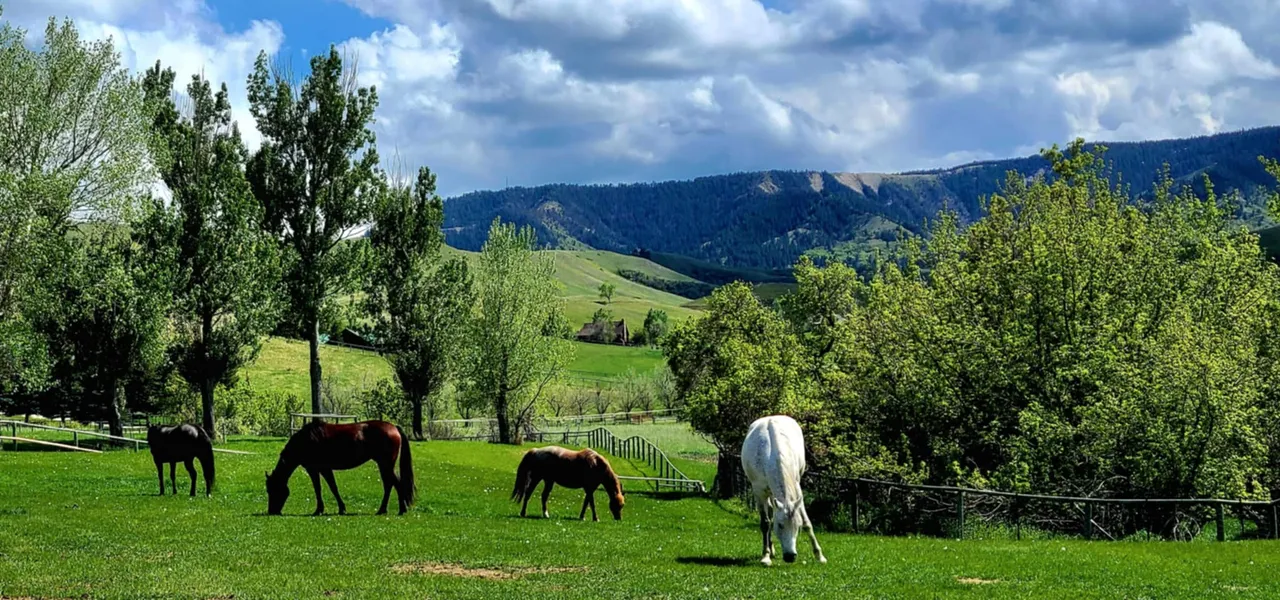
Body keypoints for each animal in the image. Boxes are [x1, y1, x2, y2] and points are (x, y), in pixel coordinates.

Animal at [264, 420, 415, 516]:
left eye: (273, 490)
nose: (272, 511)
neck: (306, 440)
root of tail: (394, 427)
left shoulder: (320, 469)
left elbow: (328, 488)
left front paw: (329, 509)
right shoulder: (318, 470)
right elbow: (325, 488)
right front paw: (328, 509)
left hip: (386, 464)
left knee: (396, 484)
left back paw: (401, 510)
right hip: (383, 465)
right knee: (389, 485)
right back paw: (383, 510)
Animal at [741, 415, 826, 566]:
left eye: (797, 526)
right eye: (780, 525)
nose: (790, 556)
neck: (771, 456)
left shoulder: (797, 490)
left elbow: (807, 522)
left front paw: (819, 555)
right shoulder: (758, 491)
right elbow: (765, 523)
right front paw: (765, 557)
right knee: (769, 516)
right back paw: (770, 550)